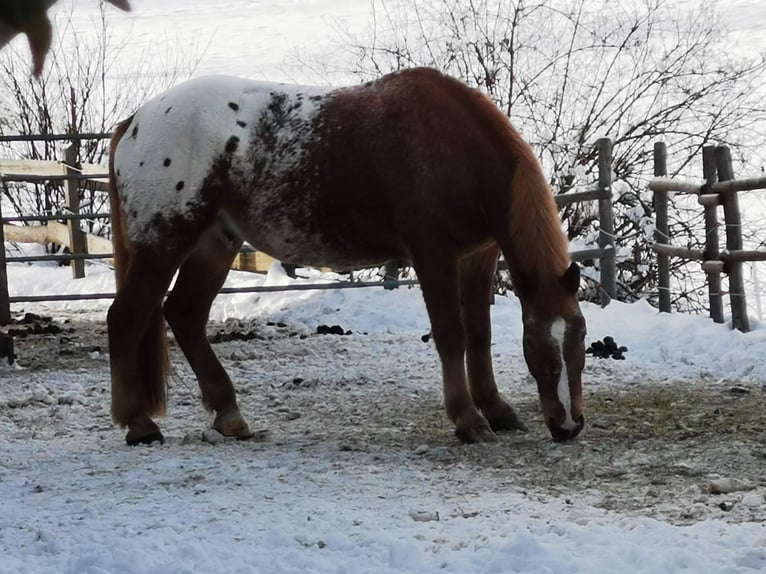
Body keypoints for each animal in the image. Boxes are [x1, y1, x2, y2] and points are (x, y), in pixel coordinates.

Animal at [106, 66, 588, 446]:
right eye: (536, 346)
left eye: (579, 338)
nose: (568, 425)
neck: (453, 146)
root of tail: (136, 121)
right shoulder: (433, 255)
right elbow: (451, 335)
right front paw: (469, 420)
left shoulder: (479, 256)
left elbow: (479, 336)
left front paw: (497, 409)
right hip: (163, 243)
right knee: (126, 317)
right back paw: (139, 424)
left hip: (214, 245)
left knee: (184, 314)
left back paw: (229, 415)